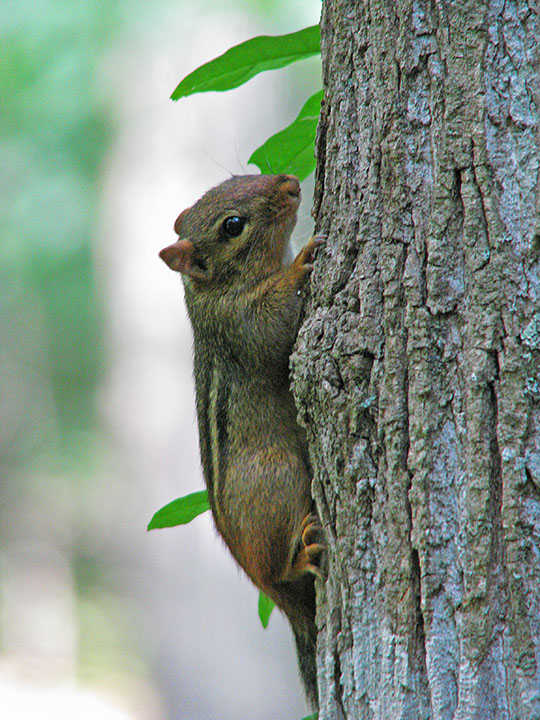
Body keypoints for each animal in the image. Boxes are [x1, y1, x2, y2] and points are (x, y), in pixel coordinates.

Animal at [159, 173, 325, 709]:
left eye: (232, 179)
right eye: (233, 225)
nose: (291, 183)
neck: (212, 292)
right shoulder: (243, 325)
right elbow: (273, 328)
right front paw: (299, 265)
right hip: (277, 479)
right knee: (280, 570)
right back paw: (300, 556)